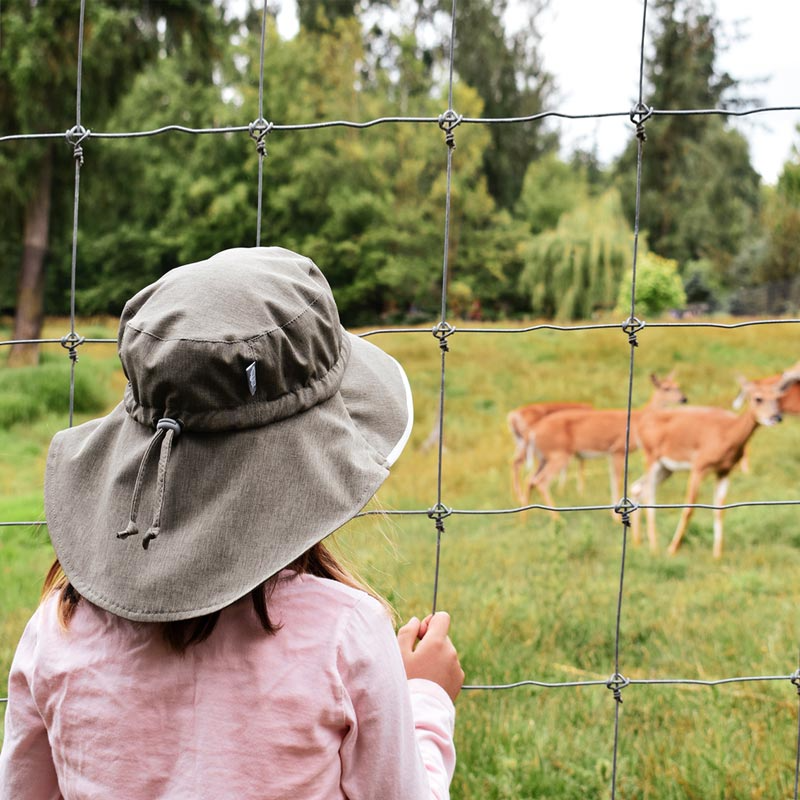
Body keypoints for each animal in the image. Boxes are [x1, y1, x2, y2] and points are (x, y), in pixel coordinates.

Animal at [520, 372, 688, 510]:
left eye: (678, 386)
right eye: (667, 388)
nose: (684, 399)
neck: (638, 419)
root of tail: (533, 431)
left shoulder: (612, 453)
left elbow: (613, 480)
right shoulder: (618, 449)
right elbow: (617, 480)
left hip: (544, 457)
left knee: (529, 480)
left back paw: (524, 520)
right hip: (558, 454)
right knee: (541, 482)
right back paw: (557, 518)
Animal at [628, 374, 792, 556]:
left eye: (777, 398)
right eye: (758, 398)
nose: (776, 417)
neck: (728, 434)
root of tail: (640, 424)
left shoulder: (724, 470)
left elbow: (719, 510)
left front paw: (717, 555)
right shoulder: (700, 465)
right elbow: (689, 508)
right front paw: (672, 549)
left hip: (666, 468)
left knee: (637, 488)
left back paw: (637, 543)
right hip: (651, 455)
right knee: (649, 495)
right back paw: (654, 547)